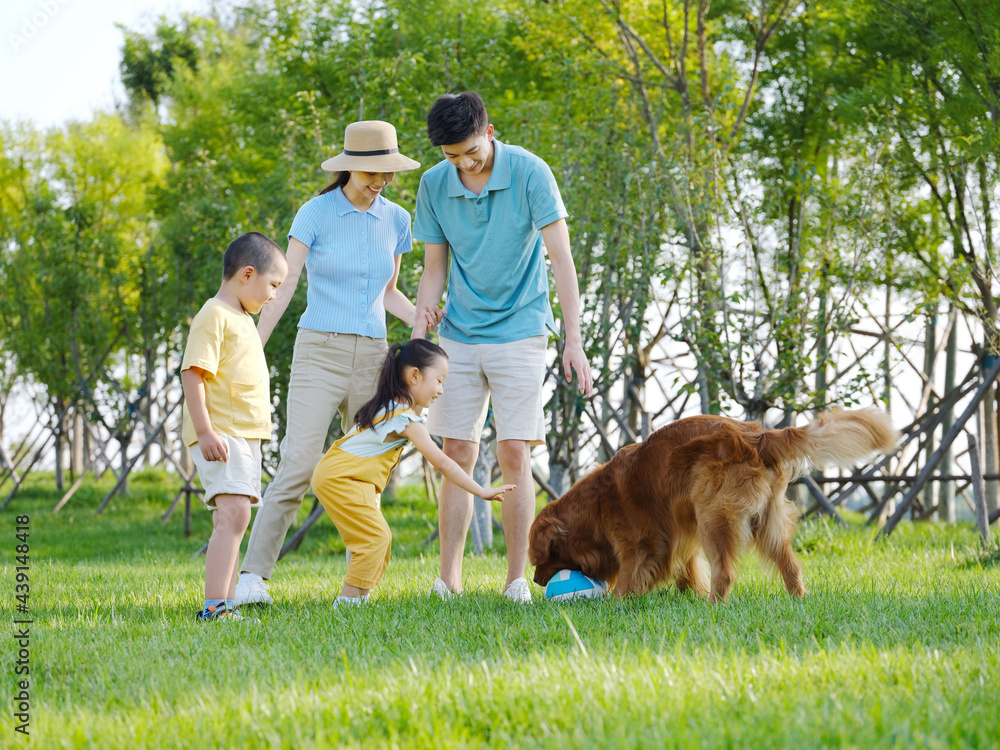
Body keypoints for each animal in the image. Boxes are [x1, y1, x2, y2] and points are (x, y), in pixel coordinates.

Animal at [532, 408, 900, 604]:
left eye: (543, 558)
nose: (535, 582)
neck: (594, 505)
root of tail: (757, 436)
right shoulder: (678, 535)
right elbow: (688, 567)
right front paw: (688, 592)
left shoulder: (640, 542)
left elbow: (631, 573)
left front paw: (616, 601)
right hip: (767, 522)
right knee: (791, 565)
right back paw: (797, 599)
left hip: (714, 516)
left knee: (726, 571)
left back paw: (712, 606)